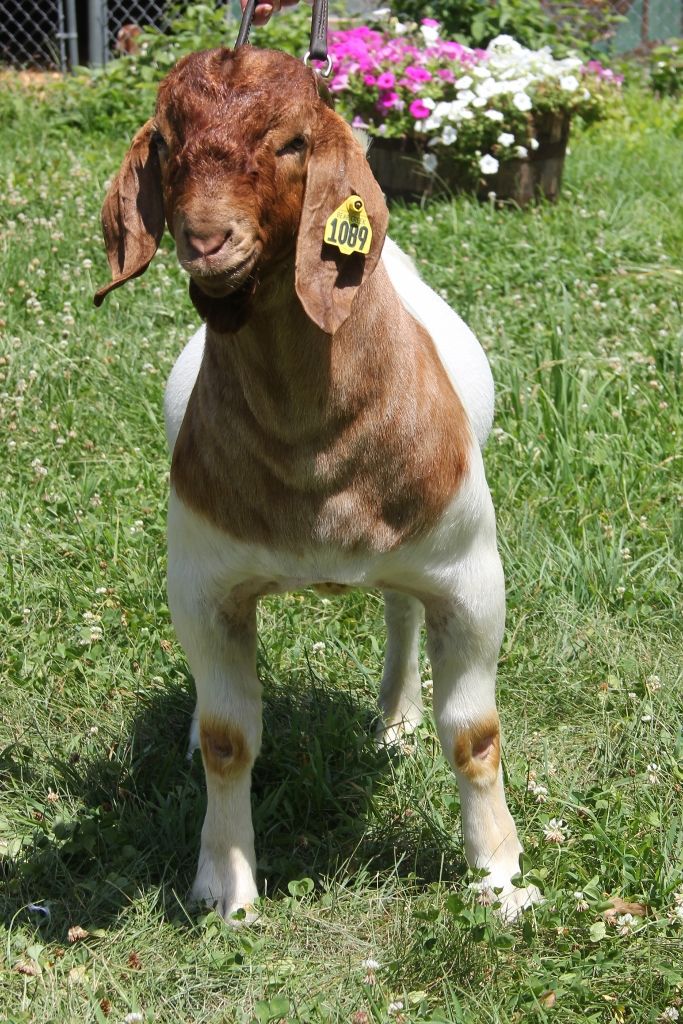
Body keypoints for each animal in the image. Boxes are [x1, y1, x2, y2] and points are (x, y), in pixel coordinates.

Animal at [95, 45, 540, 923]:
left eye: (292, 141)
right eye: (164, 140)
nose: (206, 239)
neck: (313, 451)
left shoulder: (470, 573)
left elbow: (473, 733)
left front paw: (499, 876)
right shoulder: (203, 582)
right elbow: (228, 739)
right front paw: (224, 886)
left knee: (401, 611)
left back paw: (395, 717)